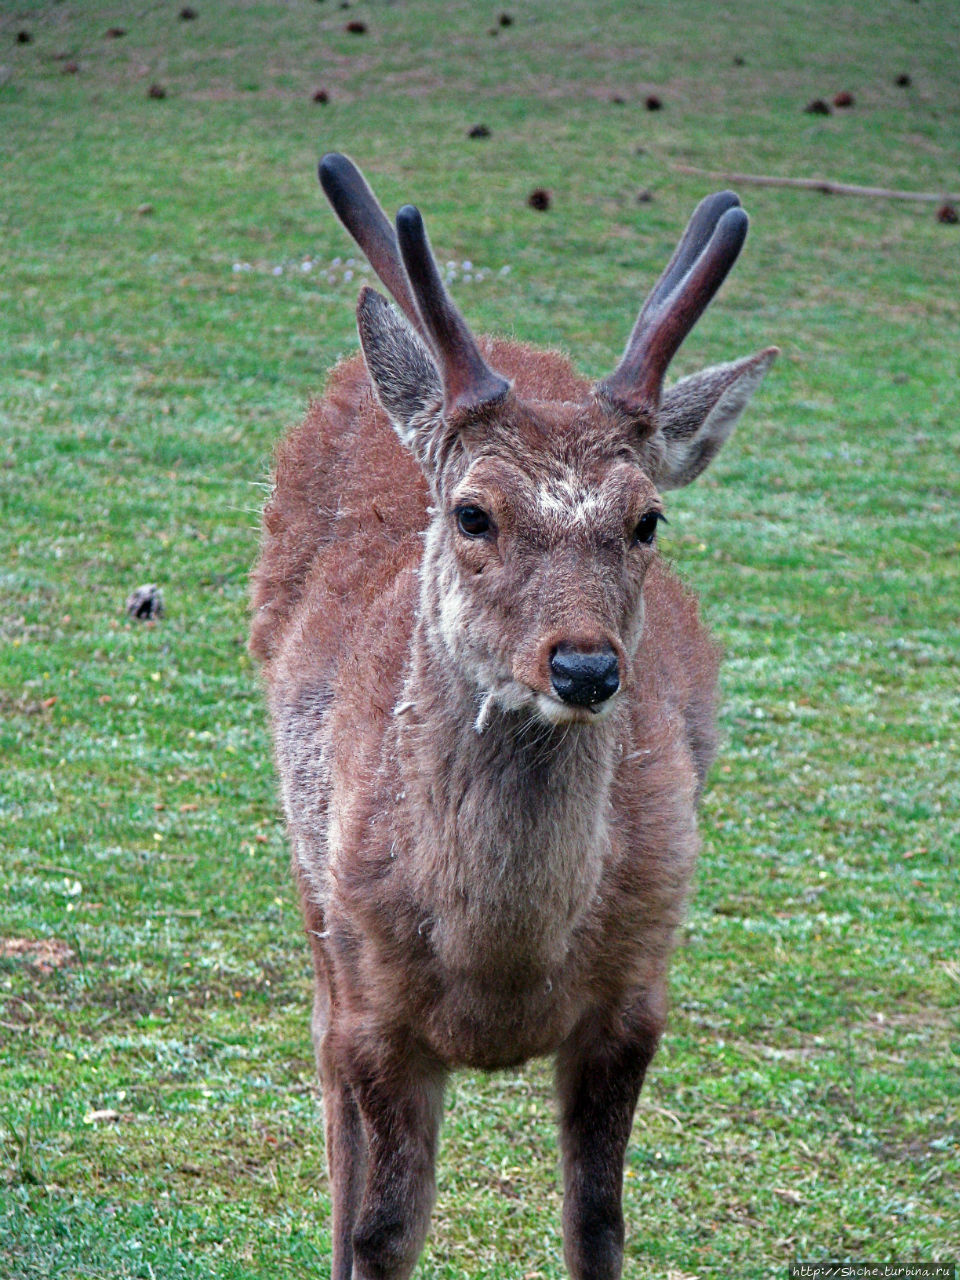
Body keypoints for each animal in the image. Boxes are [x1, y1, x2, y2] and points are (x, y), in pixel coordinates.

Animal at [249, 152, 783, 1280]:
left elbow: (599, 1224)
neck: (501, 968)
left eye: (647, 520)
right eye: (472, 513)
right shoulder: (375, 1007)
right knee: (327, 1108)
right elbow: (380, 1230)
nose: (584, 666)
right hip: (310, 885)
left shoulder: (636, 994)